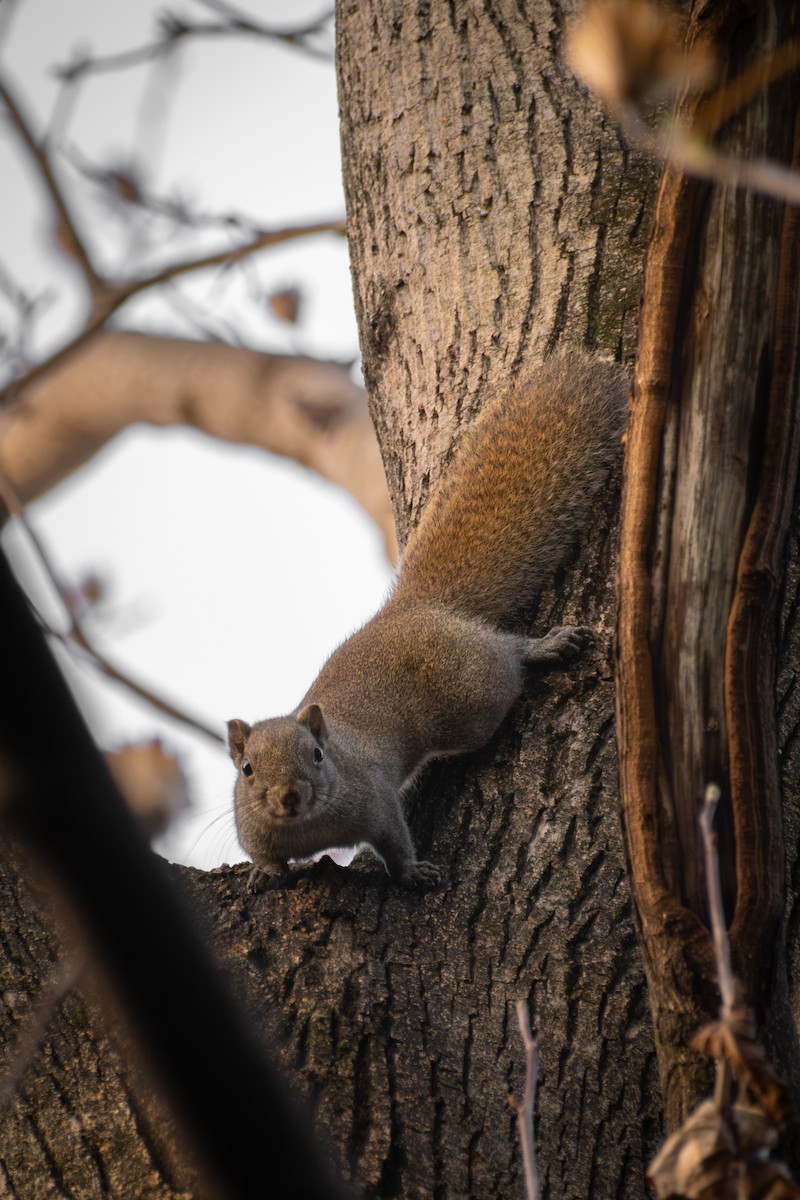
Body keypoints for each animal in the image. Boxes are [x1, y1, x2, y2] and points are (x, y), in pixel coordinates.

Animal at [228, 348, 628, 891]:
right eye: (247, 769)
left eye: (316, 755)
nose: (288, 797)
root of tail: (416, 609)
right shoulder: (253, 829)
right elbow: (263, 854)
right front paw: (263, 875)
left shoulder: (373, 799)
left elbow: (394, 838)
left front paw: (412, 872)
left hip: (473, 693)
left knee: (507, 658)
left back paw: (544, 647)